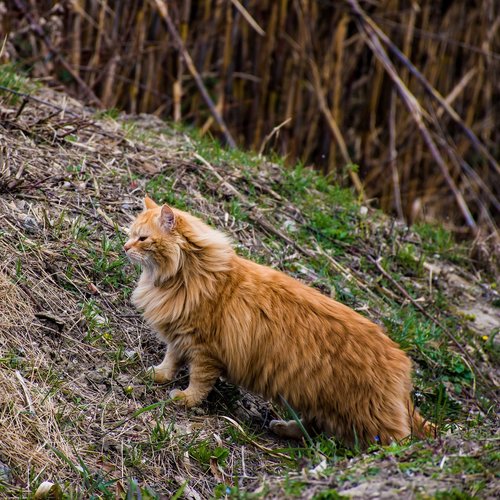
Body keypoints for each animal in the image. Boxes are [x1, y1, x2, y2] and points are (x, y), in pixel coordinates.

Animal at [126, 194, 434, 446]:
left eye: (143, 238)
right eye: (131, 234)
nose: (125, 247)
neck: (191, 275)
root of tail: (401, 359)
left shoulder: (205, 349)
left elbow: (199, 382)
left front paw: (185, 399)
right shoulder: (180, 335)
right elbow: (171, 359)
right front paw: (159, 375)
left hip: (367, 416)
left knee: (395, 440)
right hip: (314, 399)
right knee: (313, 427)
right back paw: (282, 428)